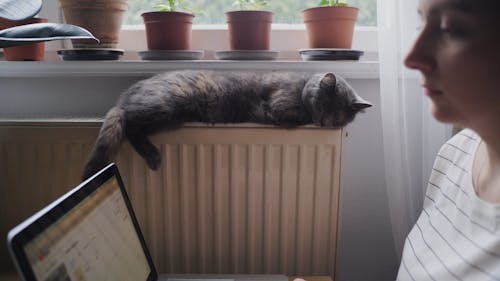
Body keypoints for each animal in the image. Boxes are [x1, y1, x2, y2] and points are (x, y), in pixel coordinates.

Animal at [82, 70, 372, 179]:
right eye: (324, 106)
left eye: (339, 118)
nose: (325, 123)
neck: (302, 85)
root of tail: (125, 95)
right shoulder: (281, 105)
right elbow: (293, 115)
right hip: (169, 104)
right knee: (130, 124)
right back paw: (154, 156)